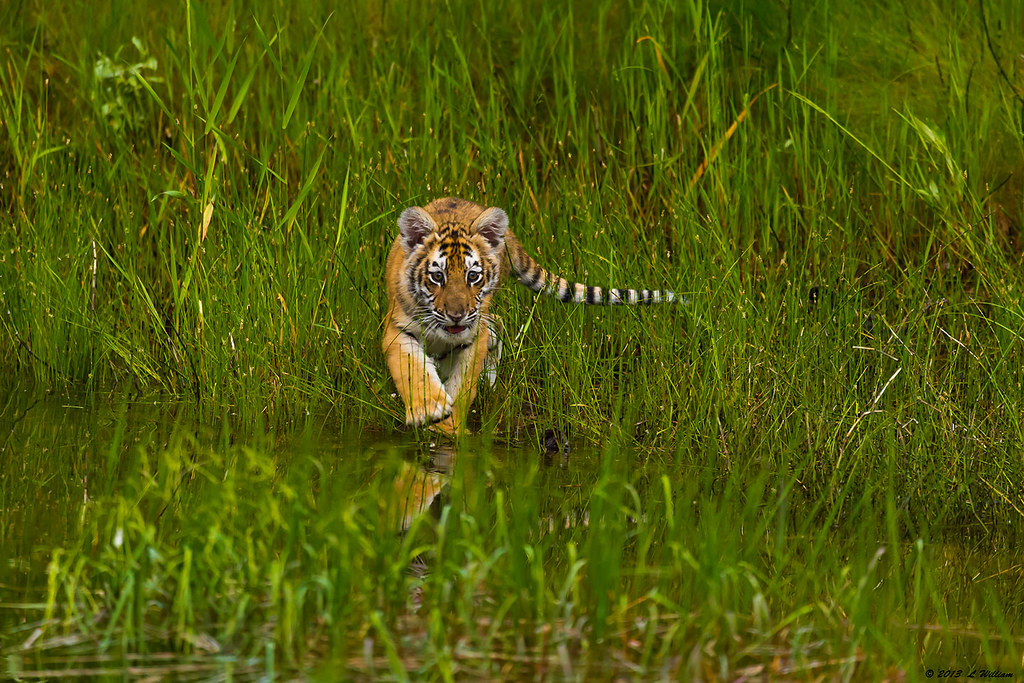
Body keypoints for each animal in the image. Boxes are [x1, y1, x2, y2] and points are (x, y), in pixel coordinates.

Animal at [381, 197, 679, 437]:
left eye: (473, 276)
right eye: (437, 277)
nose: (457, 315)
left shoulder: (472, 335)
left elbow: (463, 385)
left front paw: (450, 426)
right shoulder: (398, 330)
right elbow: (413, 371)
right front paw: (430, 410)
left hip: (484, 315)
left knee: (497, 326)